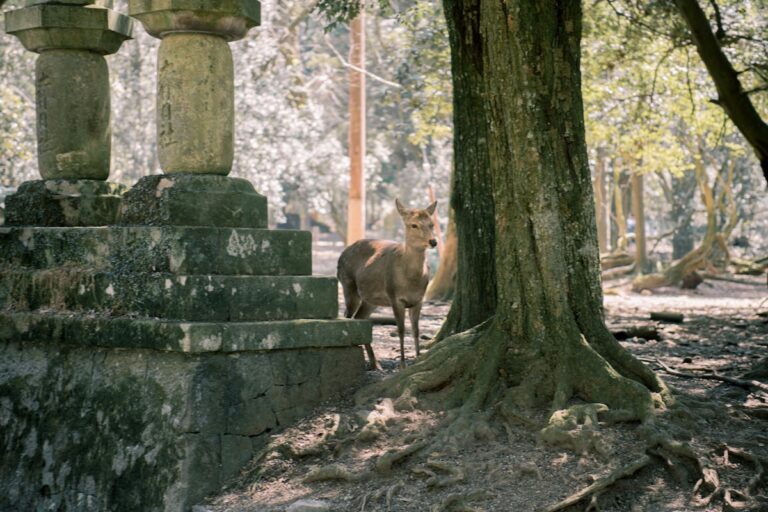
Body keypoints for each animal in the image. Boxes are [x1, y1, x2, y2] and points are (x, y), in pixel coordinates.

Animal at [337, 198, 438, 370]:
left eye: (431, 224)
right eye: (413, 225)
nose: (433, 241)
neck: (411, 280)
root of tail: (342, 253)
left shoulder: (419, 300)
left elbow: (416, 330)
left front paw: (418, 358)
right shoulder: (394, 297)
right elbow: (401, 330)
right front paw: (402, 364)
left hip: (370, 300)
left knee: (360, 318)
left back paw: (375, 363)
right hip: (347, 285)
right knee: (348, 316)